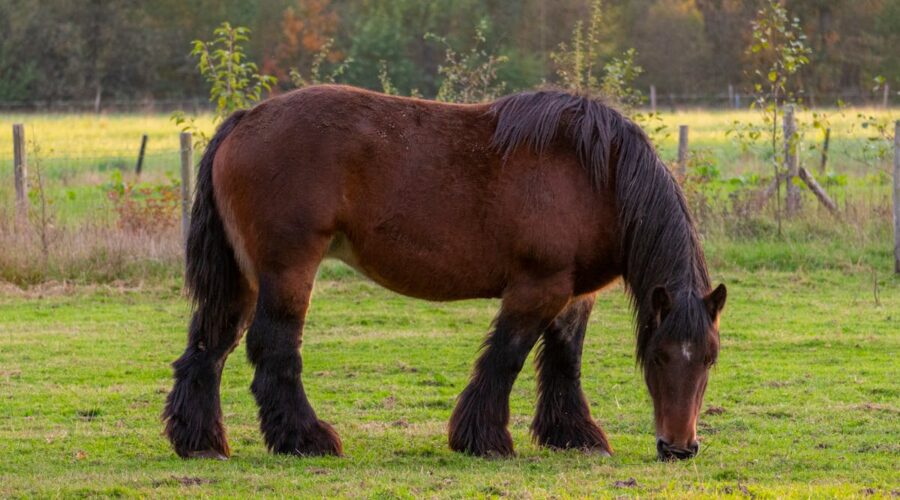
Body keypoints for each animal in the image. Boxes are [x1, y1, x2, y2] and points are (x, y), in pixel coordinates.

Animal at [162, 85, 726, 462]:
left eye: (710, 360)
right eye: (659, 356)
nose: (679, 448)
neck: (596, 176)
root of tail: (245, 120)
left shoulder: (574, 295)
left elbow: (564, 361)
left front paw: (574, 436)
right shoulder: (538, 288)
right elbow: (506, 358)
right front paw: (484, 440)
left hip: (243, 279)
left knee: (208, 347)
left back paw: (200, 442)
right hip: (288, 271)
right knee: (274, 349)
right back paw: (304, 438)